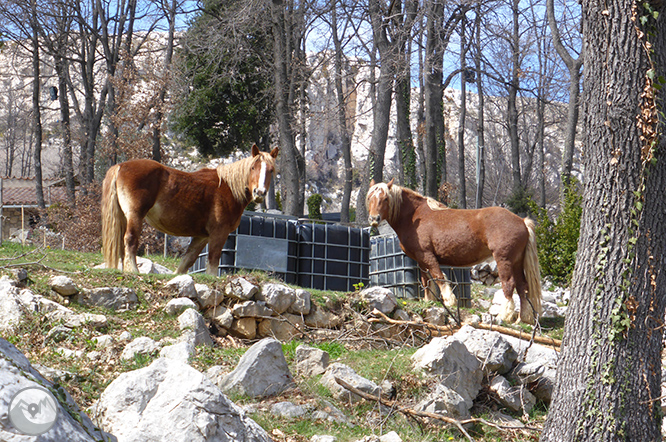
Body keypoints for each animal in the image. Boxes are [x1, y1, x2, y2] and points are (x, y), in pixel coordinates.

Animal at [101, 145, 278, 276]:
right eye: (253, 167)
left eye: (271, 170)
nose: (259, 192)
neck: (229, 188)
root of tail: (121, 166)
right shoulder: (219, 233)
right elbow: (213, 262)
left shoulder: (201, 236)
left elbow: (187, 261)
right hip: (135, 215)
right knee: (130, 240)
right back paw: (135, 271)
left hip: (124, 217)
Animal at [366, 178, 544, 322]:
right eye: (369, 198)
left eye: (385, 198)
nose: (374, 219)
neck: (415, 216)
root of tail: (522, 221)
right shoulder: (420, 259)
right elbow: (426, 281)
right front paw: (429, 301)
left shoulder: (427, 255)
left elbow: (439, 277)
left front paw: (449, 300)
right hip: (517, 262)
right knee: (522, 287)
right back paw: (522, 319)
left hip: (504, 260)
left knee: (509, 284)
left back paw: (504, 316)